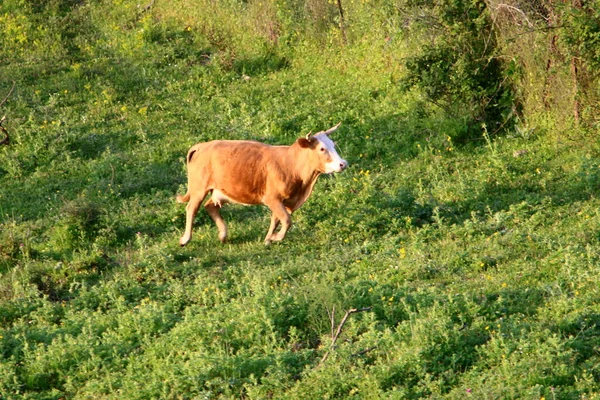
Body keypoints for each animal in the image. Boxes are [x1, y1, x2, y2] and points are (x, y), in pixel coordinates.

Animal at [176, 123, 346, 245]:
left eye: (333, 145)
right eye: (322, 148)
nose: (343, 164)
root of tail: (201, 146)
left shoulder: (283, 201)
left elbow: (276, 220)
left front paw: (268, 239)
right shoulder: (272, 198)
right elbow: (286, 220)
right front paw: (276, 237)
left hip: (222, 191)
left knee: (210, 206)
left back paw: (223, 236)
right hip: (199, 188)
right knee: (192, 209)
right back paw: (185, 239)